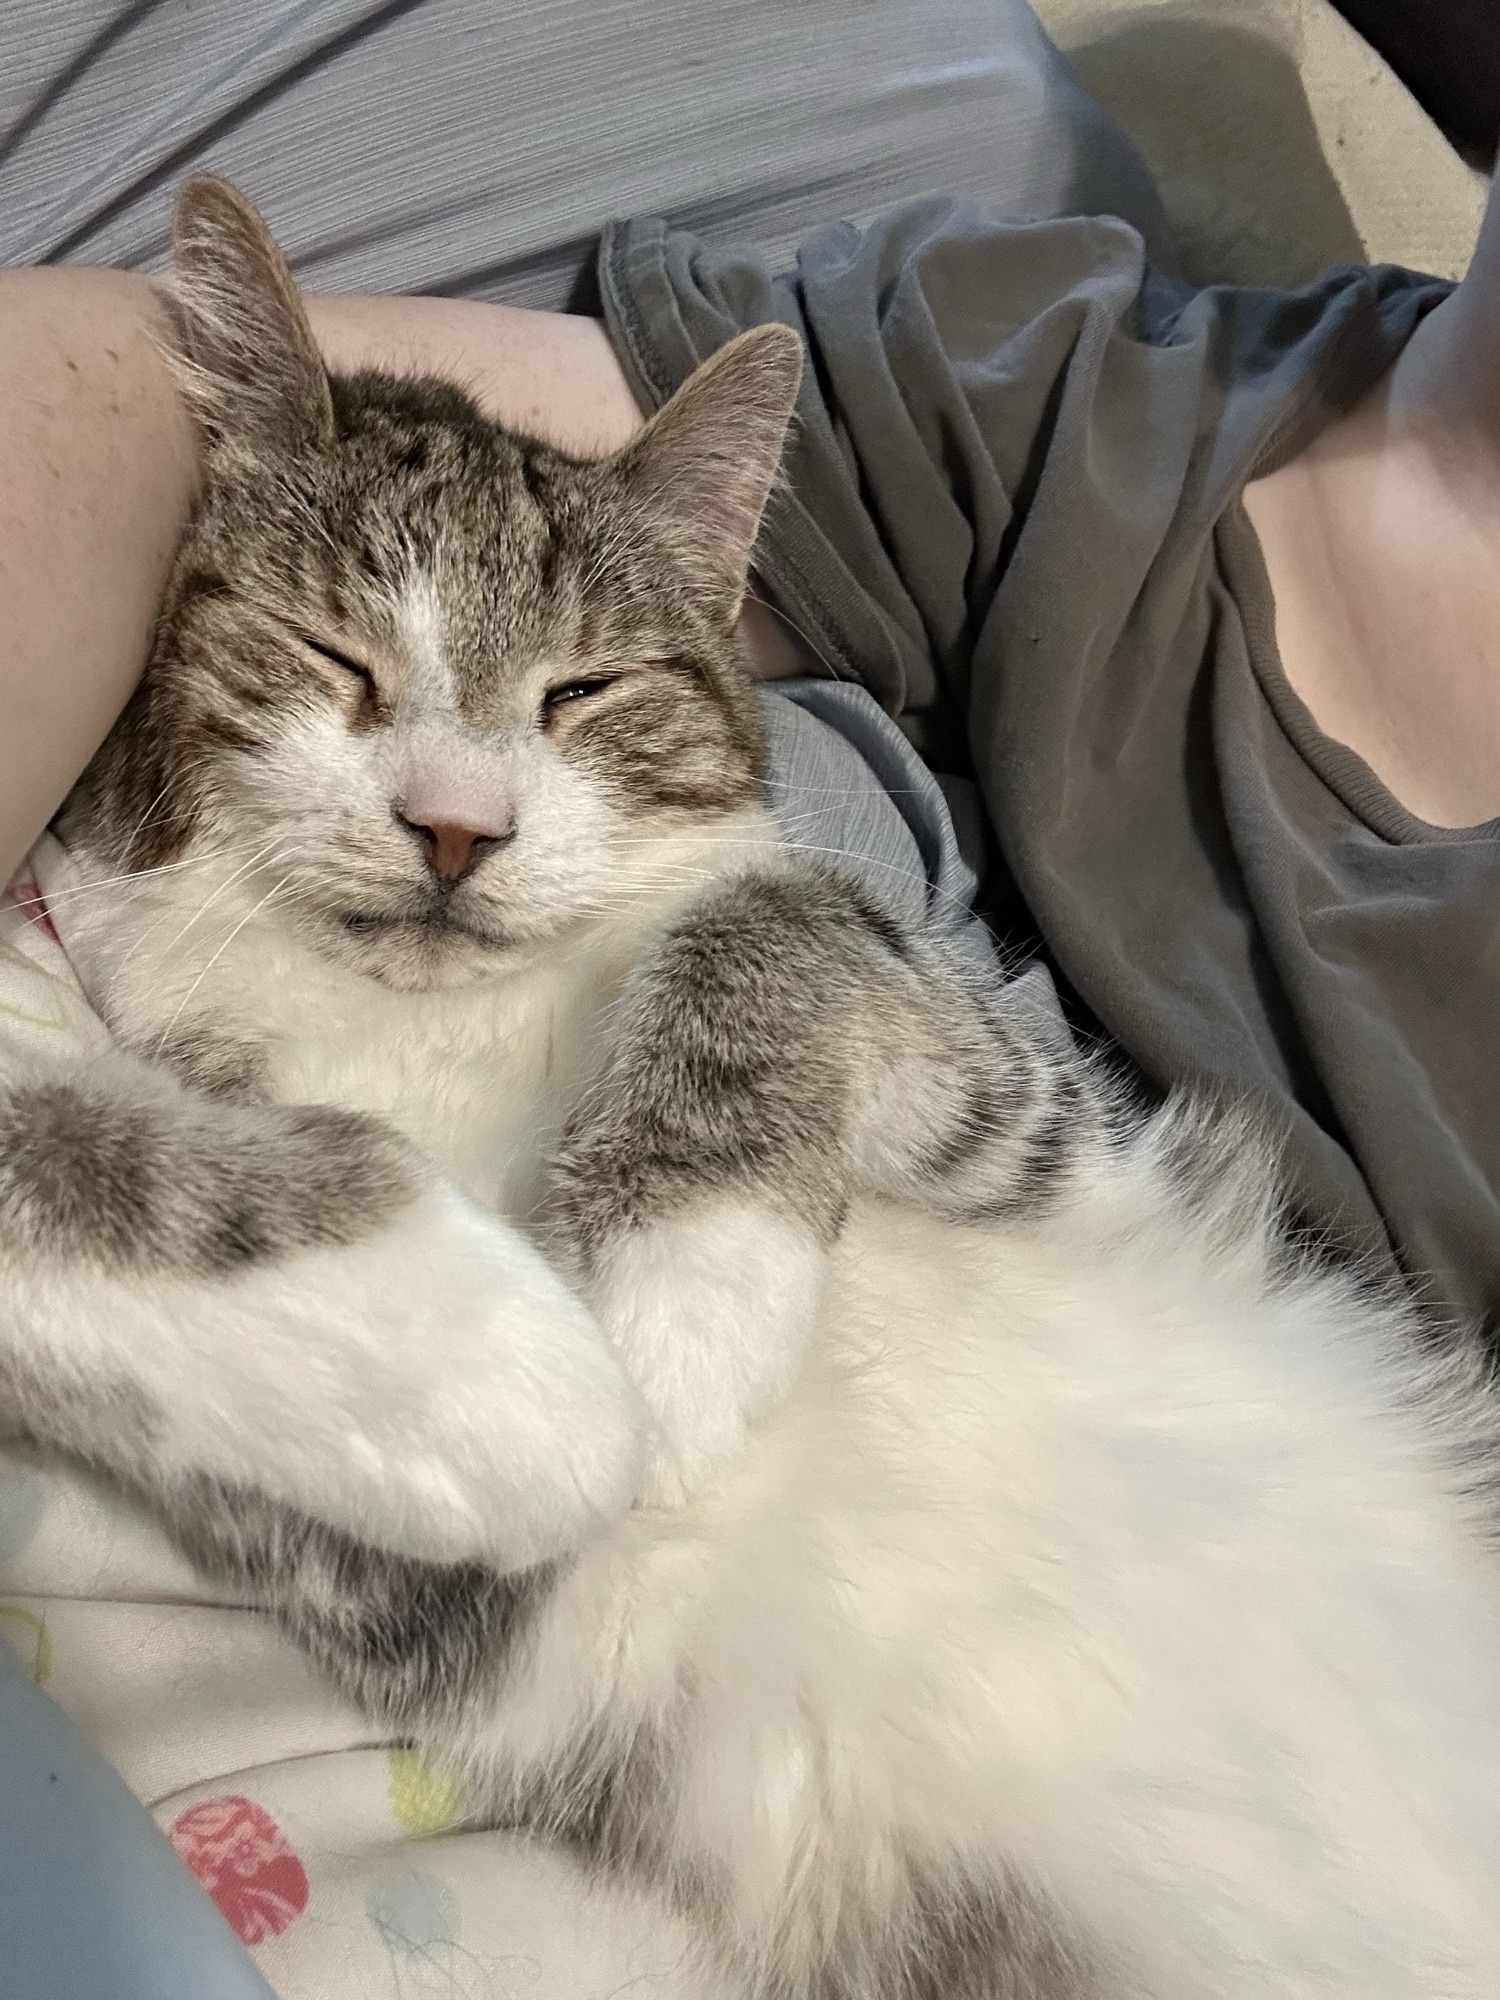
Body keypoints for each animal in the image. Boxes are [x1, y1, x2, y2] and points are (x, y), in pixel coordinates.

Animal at [7, 174, 1500, 1998]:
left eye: (583, 690)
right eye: (329, 651)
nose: (455, 825)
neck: (442, 1027)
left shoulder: (1056, 1134)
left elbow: (768, 912)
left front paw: (685, 1289)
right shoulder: (469, 1597)